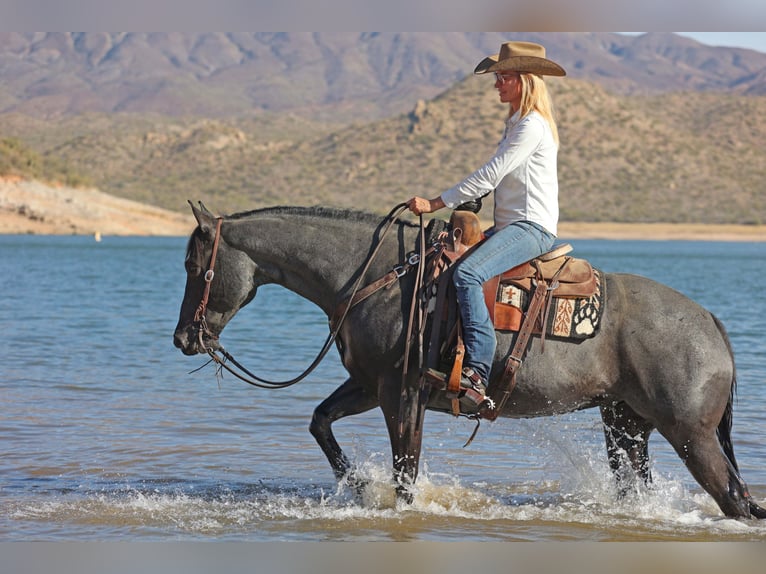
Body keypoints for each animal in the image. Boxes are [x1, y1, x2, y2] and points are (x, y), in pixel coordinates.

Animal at [174, 204, 766, 520]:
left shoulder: (399, 394)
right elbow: (320, 423)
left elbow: (406, 470)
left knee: (736, 501)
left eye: (194, 266)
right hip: (626, 424)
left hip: (690, 434)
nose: (183, 338)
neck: (376, 277)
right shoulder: (367, 385)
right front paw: (360, 487)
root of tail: (710, 321)